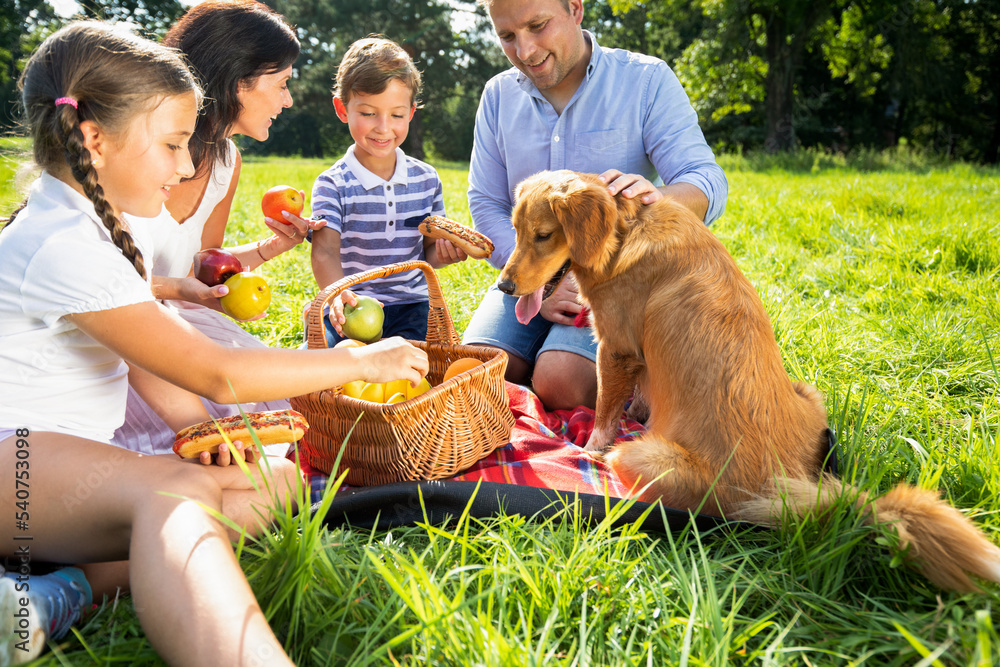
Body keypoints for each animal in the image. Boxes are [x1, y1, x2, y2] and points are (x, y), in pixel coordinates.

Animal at [498, 170, 1000, 592]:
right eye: (516, 230)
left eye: (543, 235)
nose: (503, 286)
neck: (623, 230)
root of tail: (793, 491)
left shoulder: (615, 349)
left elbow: (604, 414)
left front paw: (587, 448)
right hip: (809, 395)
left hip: (642, 457)